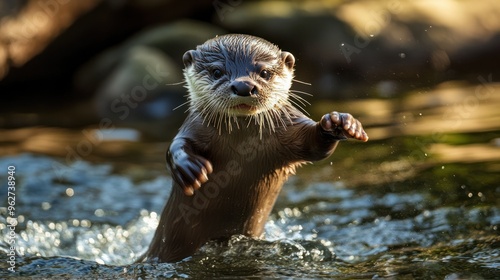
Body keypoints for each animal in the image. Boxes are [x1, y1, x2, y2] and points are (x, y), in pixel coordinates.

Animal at [141, 34, 368, 262]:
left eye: (265, 73)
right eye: (217, 72)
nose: (243, 86)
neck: (241, 144)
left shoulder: (289, 127)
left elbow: (315, 147)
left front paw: (339, 123)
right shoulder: (194, 125)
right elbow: (177, 144)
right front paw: (189, 168)